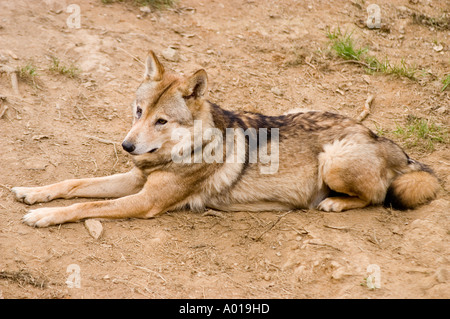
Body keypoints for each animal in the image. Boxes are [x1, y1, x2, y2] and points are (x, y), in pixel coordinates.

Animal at [11, 50, 440, 228]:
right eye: (138, 111)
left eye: (162, 120)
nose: (127, 147)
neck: (186, 148)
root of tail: (384, 139)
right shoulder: (135, 179)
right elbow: (74, 183)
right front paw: (33, 193)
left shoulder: (145, 201)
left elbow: (84, 205)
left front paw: (45, 216)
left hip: (333, 160)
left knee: (377, 195)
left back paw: (334, 203)